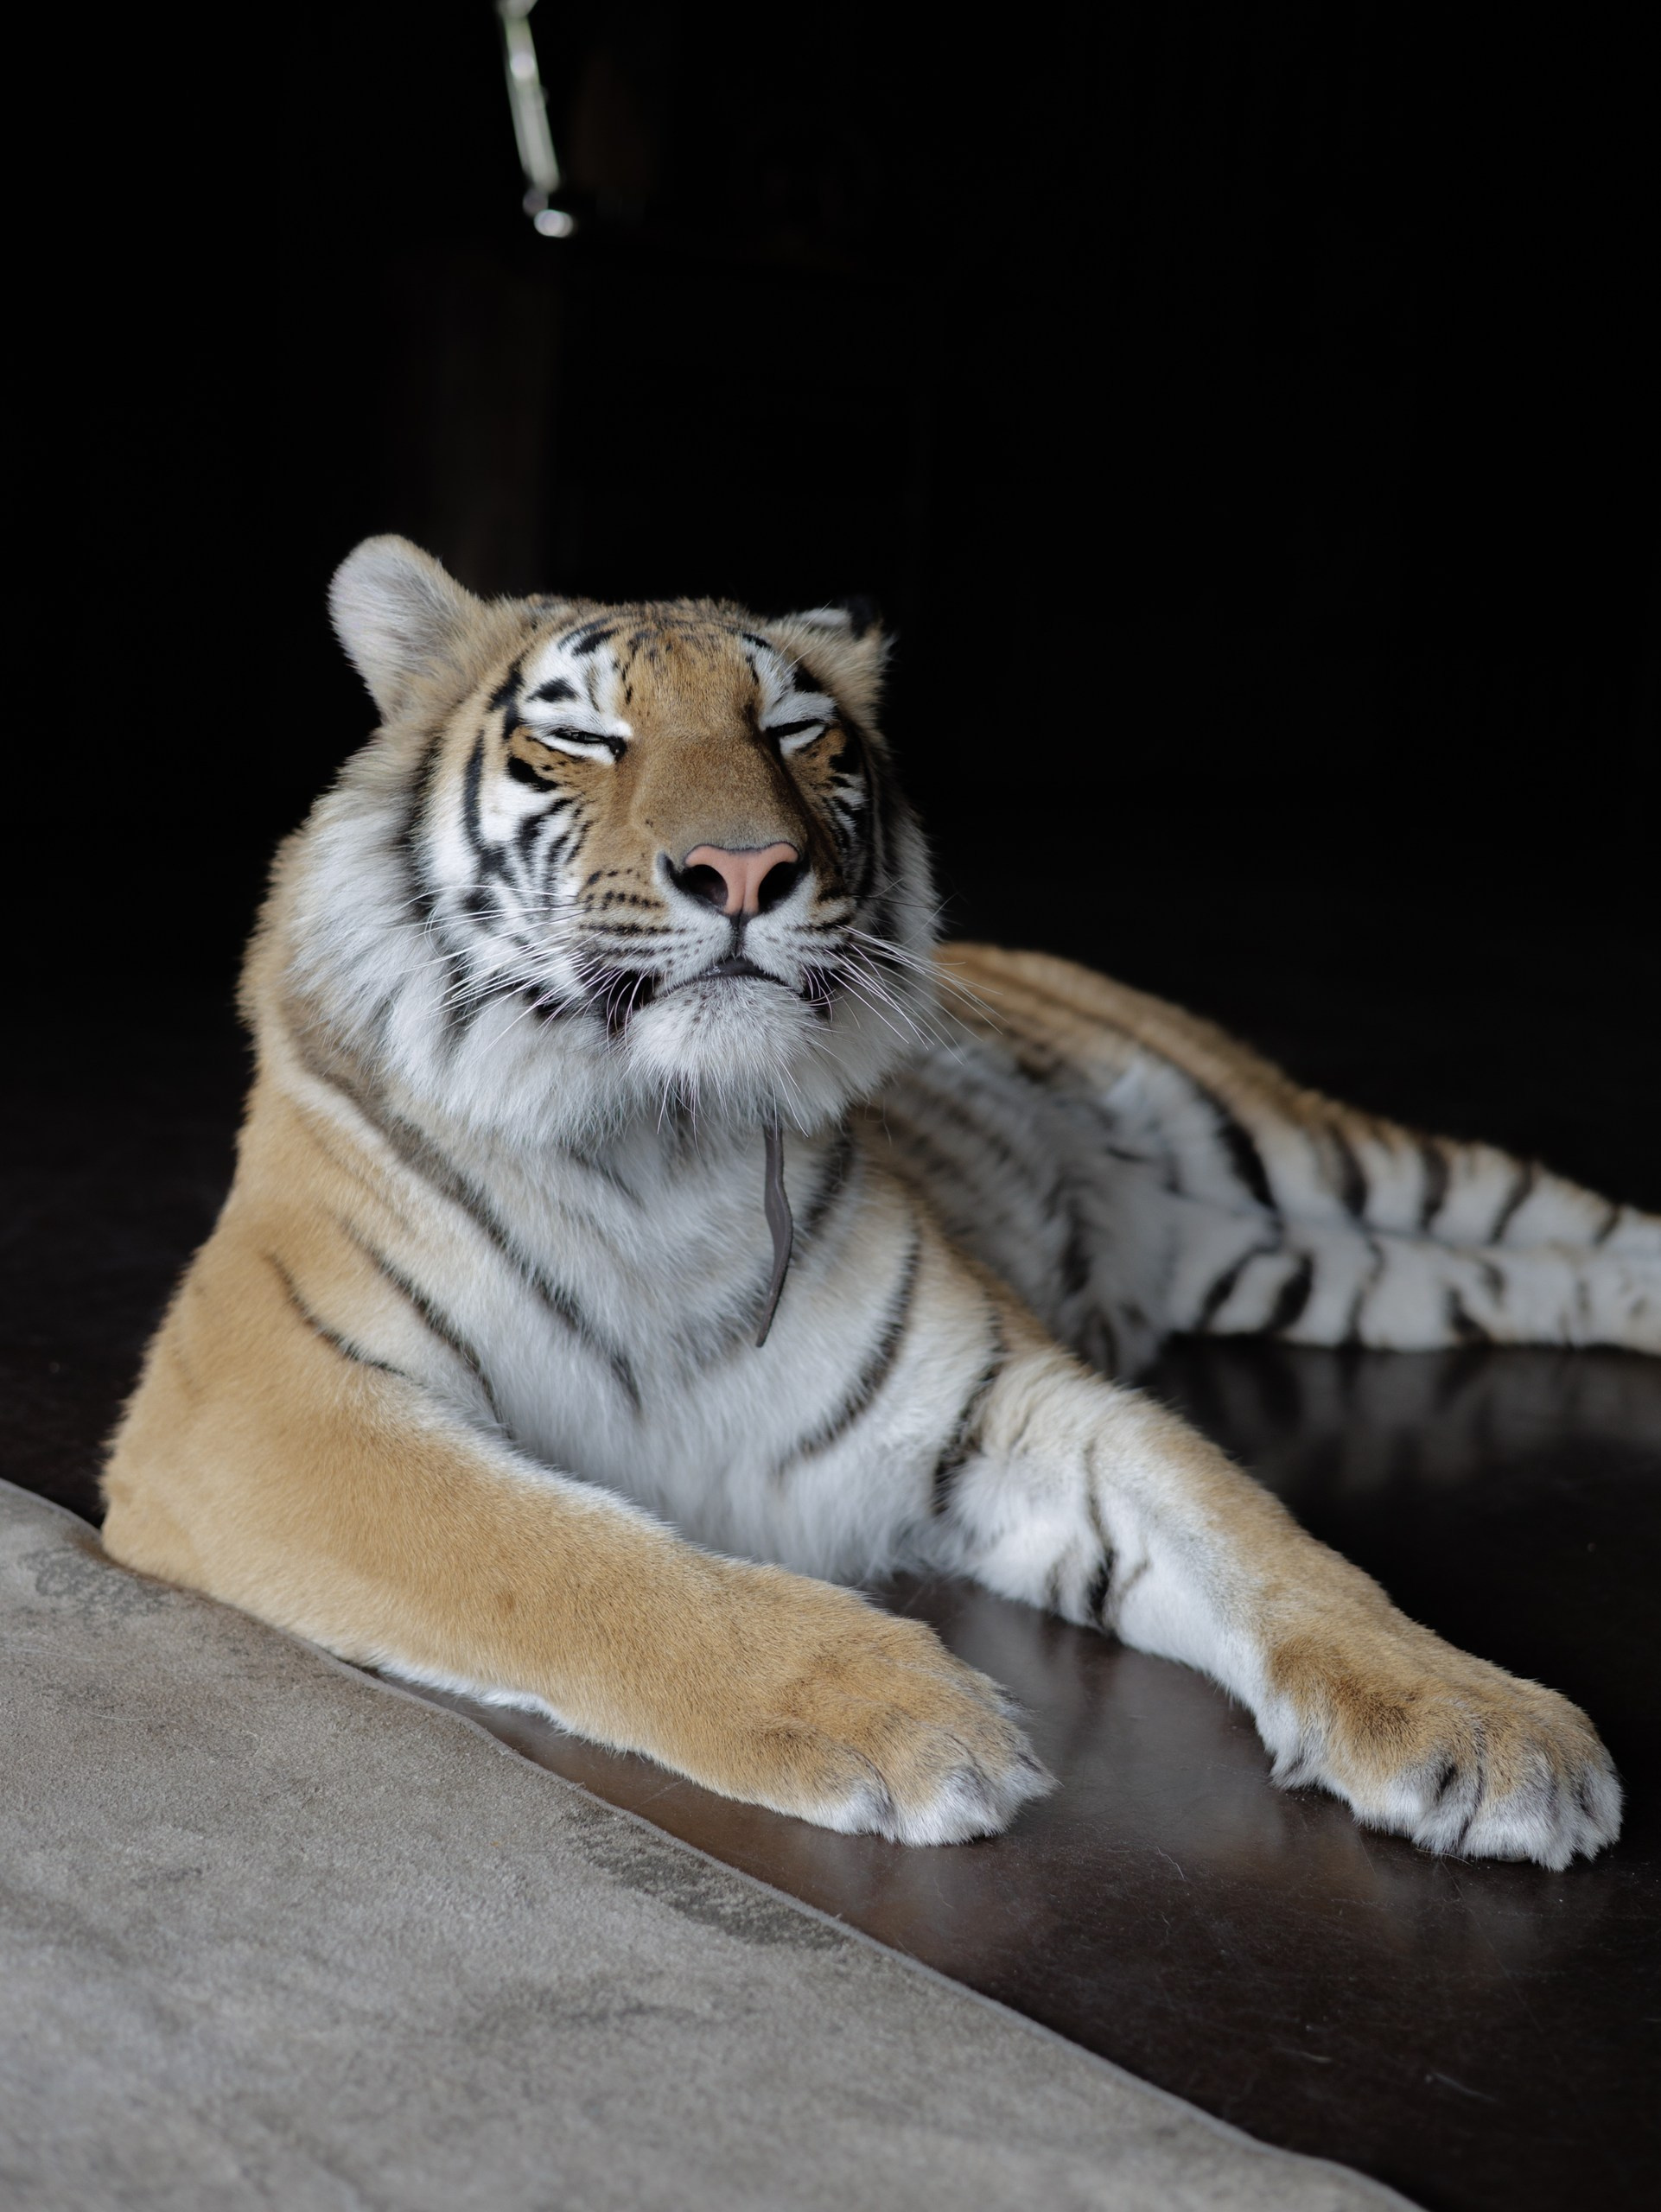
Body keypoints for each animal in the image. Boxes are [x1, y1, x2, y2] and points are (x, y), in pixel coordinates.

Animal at [102, 536, 1659, 1870]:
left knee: (1575, 1223)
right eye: (586, 739)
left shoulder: (1004, 1397)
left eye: (795, 735)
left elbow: (1268, 1546)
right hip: (1307, 1265)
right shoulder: (265, 1409)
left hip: (1309, 1153)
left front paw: (1478, 1724)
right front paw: (900, 1718)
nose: (743, 868)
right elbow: (565, 1559)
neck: (662, 1140)